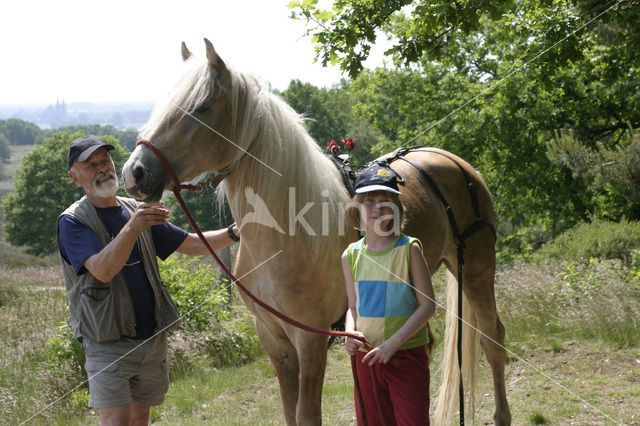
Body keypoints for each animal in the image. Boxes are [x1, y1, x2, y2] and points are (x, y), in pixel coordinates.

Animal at [120, 38, 510, 424]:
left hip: (476, 269)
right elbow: (290, 410)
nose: (134, 173)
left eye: (201, 108)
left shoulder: (309, 339)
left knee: (493, 339)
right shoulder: (273, 337)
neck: (286, 237)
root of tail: (451, 160)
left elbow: (307, 413)